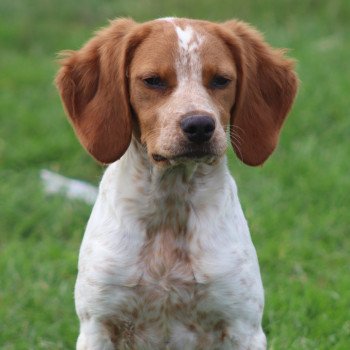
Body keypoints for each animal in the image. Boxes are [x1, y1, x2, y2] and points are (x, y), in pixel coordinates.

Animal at [56, 17, 296, 350]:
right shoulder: (98, 325)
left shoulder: (243, 327)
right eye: (153, 80)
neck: (170, 207)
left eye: (221, 80)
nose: (200, 126)